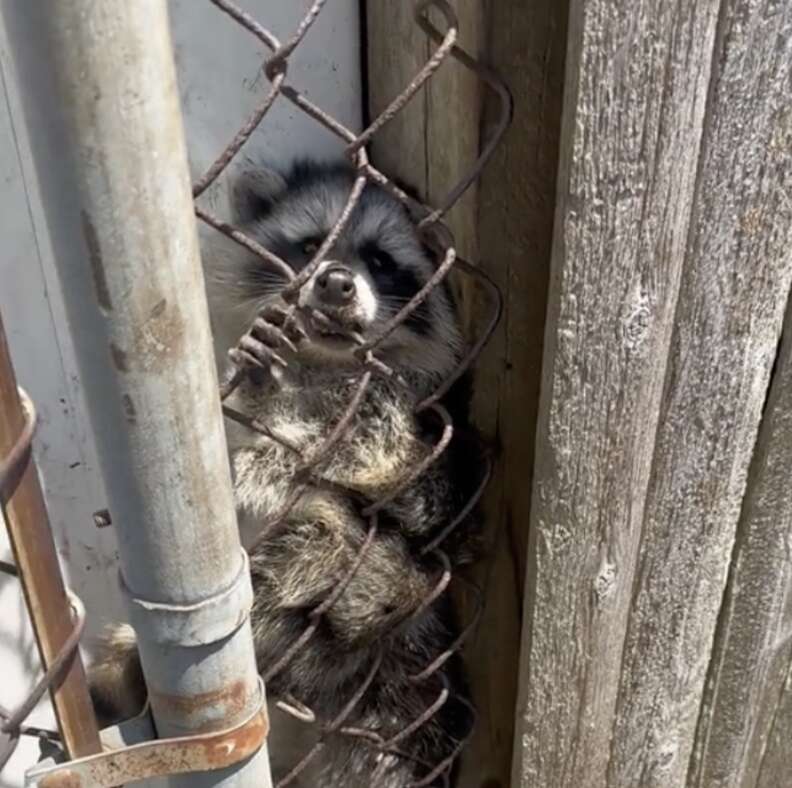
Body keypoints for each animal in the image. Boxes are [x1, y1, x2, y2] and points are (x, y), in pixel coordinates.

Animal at [89, 160, 480, 788]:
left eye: (381, 260)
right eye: (309, 245)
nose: (337, 282)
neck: (322, 363)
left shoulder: (401, 419)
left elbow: (357, 461)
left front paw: (262, 448)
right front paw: (256, 385)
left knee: (316, 551)